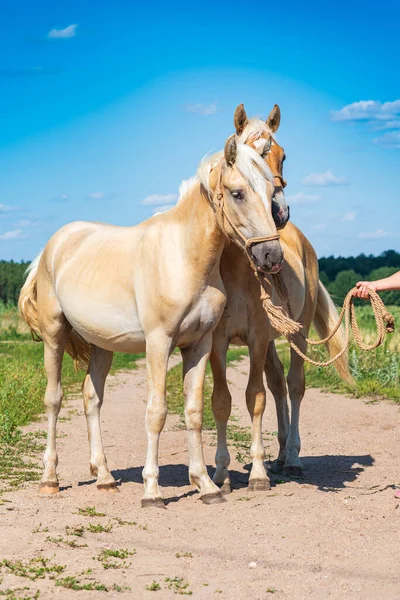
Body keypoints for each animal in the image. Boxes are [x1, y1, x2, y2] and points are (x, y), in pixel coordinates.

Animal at [18, 125, 282, 506]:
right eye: (238, 193)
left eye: (271, 193)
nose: (272, 256)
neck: (184, 257)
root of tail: (52, 247)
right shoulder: (158, 344)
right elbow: (156, 413)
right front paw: (152, 491)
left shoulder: (199, 346)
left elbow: (194, 412)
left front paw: (206, 485)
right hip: (54, 334)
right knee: (54, 399)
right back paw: (50, 479)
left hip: (103, 346)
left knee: (91, 399)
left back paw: (105, 478)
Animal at [209, 105, 350, 494]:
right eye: (247, 154)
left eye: (283, 155)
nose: (278, 211)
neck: (236, 267)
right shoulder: (219, 341)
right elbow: (224, 400)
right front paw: (222, 475)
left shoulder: (257, 338)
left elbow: (254, 397)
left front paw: (257, 475)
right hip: (275, 339)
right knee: (278, 384)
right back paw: (281, 455)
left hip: (297, 333)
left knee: (295, 384)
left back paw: (295, 459)